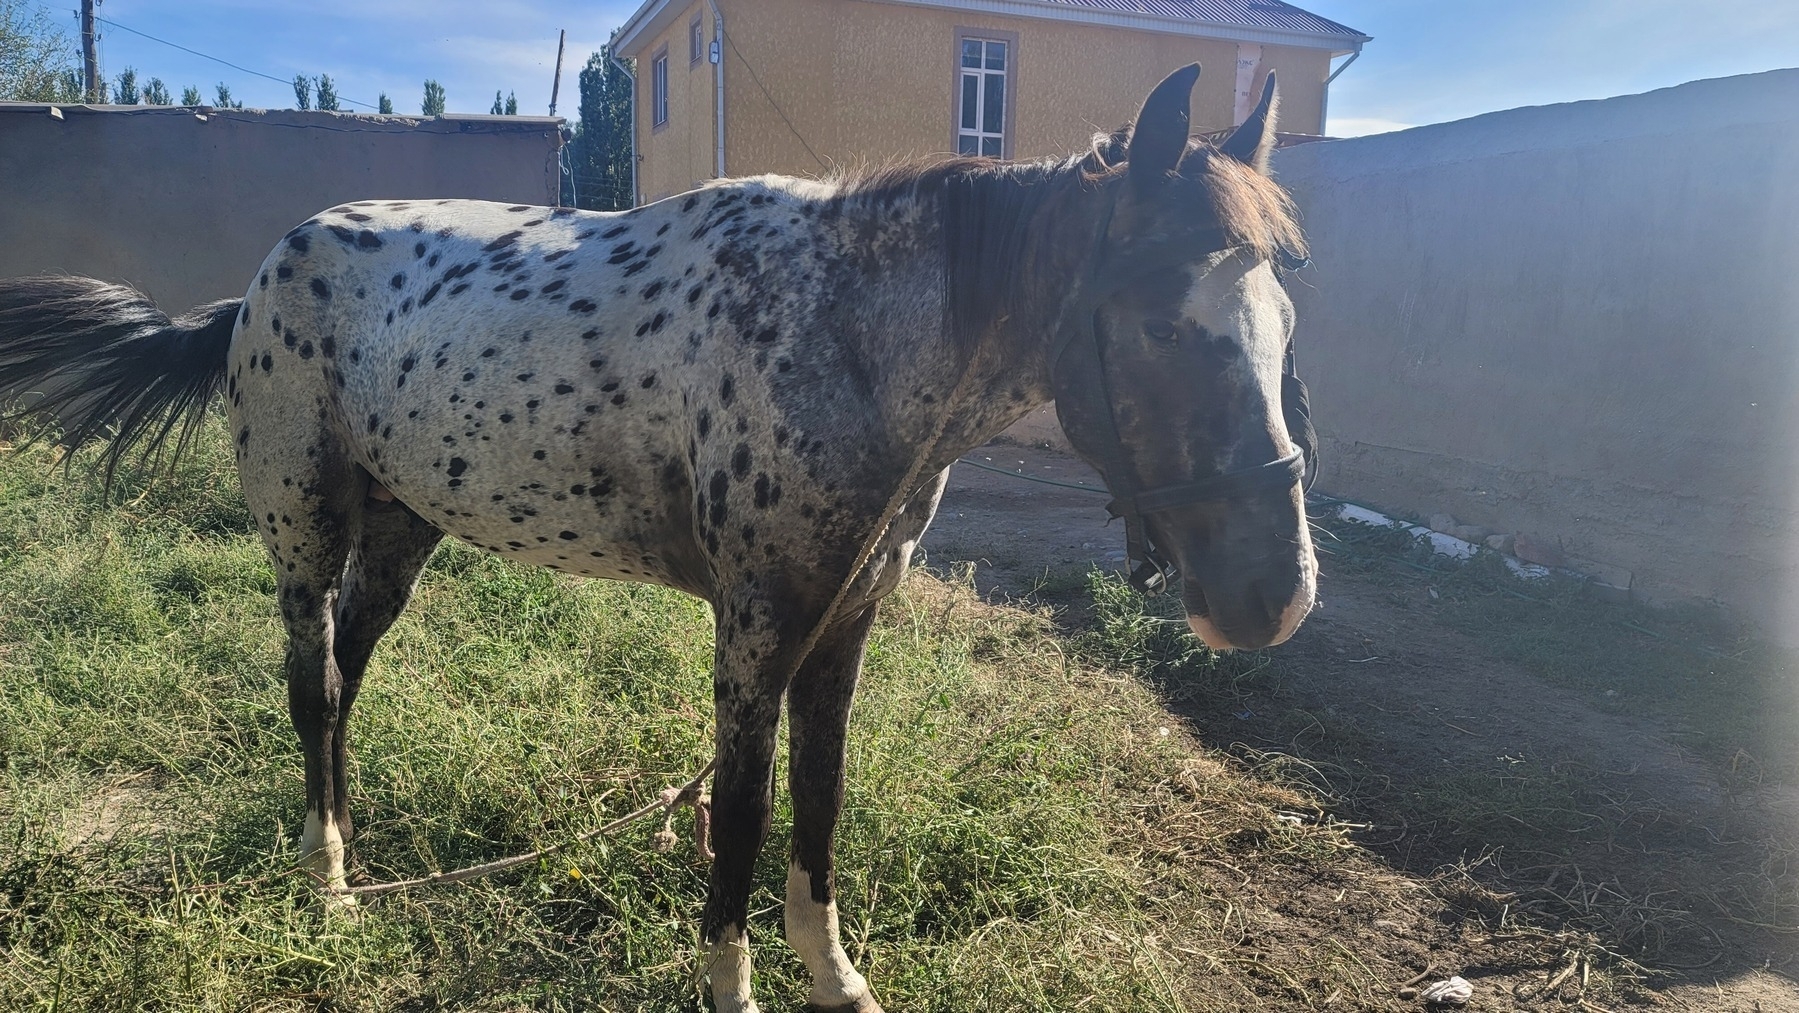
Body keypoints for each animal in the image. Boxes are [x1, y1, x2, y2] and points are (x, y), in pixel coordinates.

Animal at [0, 67, 1324, 1007]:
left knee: (349, 674)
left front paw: (836, 979)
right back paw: (327, 881)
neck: (837, 333)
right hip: (304, 529)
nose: (1271, 596)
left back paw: (354, 848)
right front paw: (731, 989)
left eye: (1283, 315)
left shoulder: (841, 627)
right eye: (1155, 321)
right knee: (310, 685)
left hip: (403, 528)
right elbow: (738, 814)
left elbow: (819, 799)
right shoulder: (754, 632)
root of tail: (259, 281)